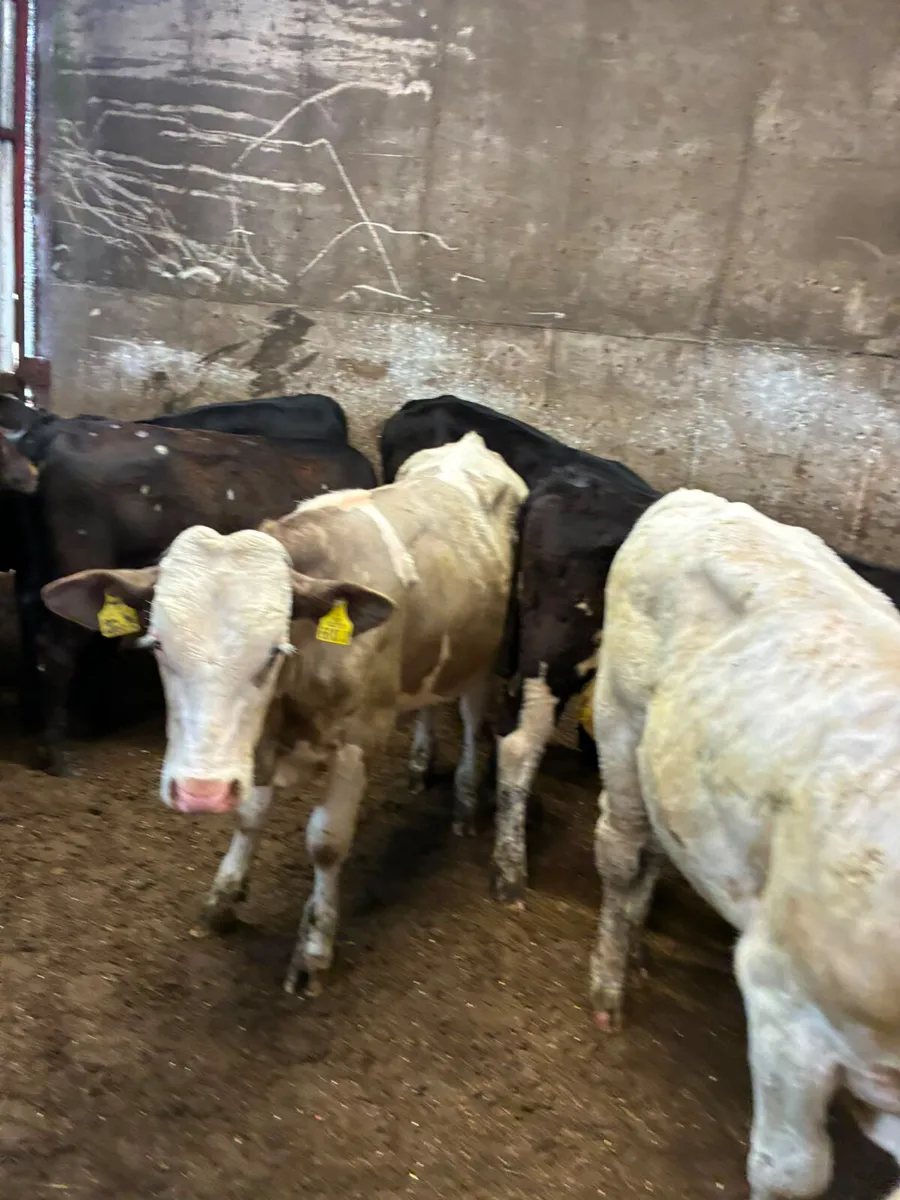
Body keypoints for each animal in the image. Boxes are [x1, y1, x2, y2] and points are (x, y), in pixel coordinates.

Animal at [42, 432, 528, 994]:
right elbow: (249, 816)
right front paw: (223, 899)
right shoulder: (256, 747)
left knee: (472, 720)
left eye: (275, 650)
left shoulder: (360, 739)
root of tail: (468, 443)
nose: (200, 793)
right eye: (157, 643)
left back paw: (466, 805)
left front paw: (313, 953)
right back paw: (420, 763)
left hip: (488, 656)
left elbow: (327, 842)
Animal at [590, 487, 900, 1200]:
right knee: (621, 851)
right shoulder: (785, 1000)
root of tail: (690, 498)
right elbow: (789, 1173)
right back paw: (609, 983)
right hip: (620, 718)